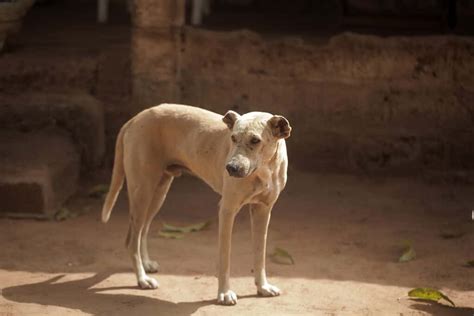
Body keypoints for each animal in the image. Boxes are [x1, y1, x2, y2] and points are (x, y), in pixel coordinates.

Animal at [102, 104, 290, 306]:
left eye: (255, 140)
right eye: (232, 138)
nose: (230, 168)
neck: (264, 169)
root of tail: (135, 118)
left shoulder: (263, 211)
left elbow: (260, 254)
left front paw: (262, 287)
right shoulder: (227, 210)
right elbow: (225, 258)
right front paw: (224, 293)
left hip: (157, 193)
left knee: (142, 232)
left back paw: (146, 265)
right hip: (142, 193)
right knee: (132, 239)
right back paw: (142, 279)